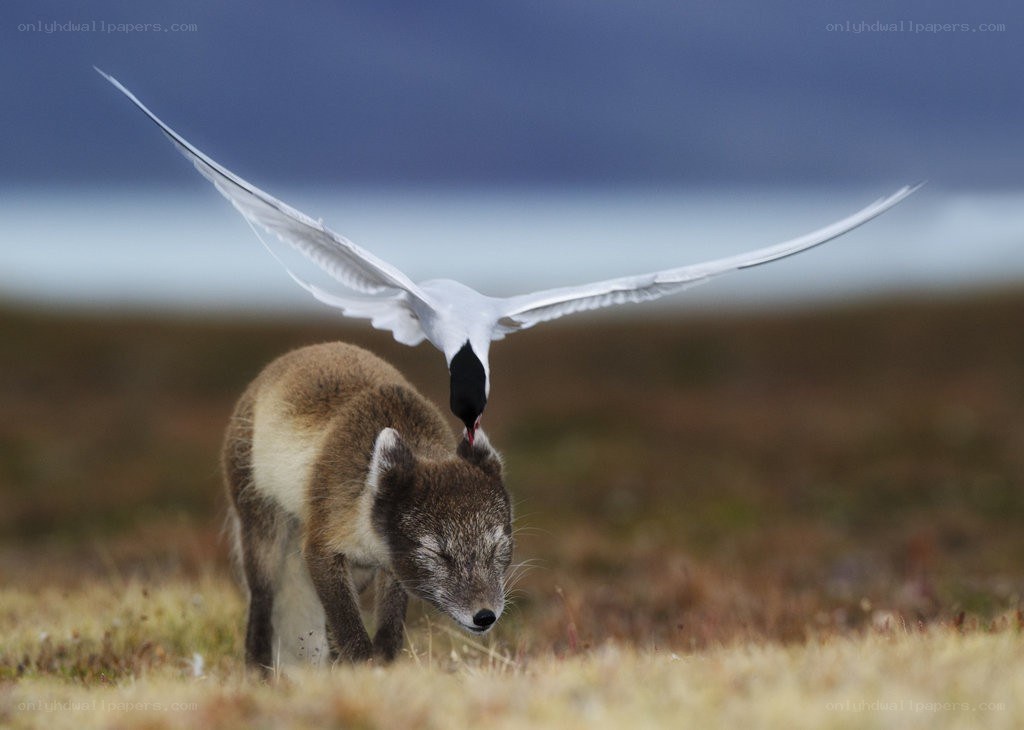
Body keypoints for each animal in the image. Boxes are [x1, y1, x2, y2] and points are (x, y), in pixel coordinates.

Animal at [221, 342, 513, 671]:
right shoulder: (320, 548)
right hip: (264, 533)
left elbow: (388, 631)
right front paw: (364, 670)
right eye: (437, 553)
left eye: (497, 546)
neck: (367, 526)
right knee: (262, 600)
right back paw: (259, 670)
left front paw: (380, 668)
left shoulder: (390, 568)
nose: (485, 616)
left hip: (359, 574)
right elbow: (352, 632)